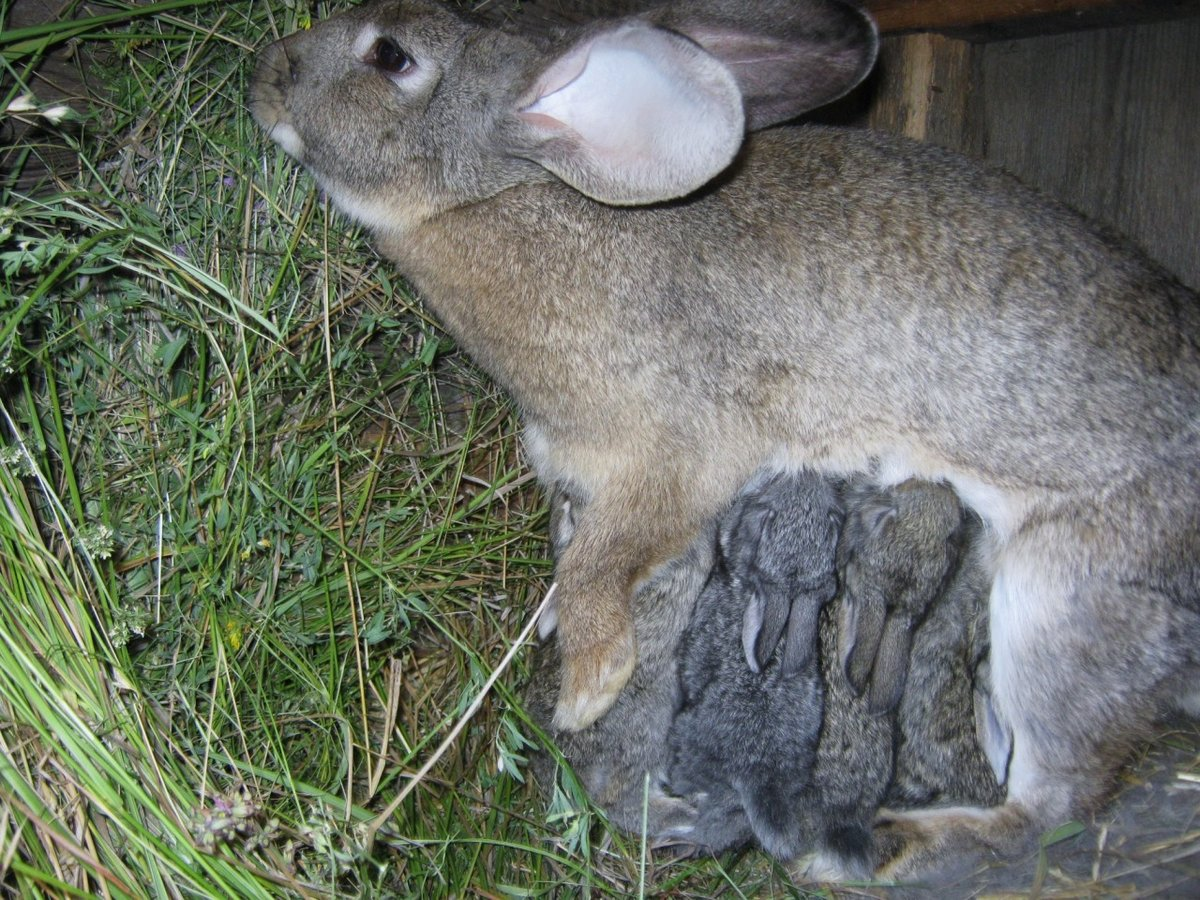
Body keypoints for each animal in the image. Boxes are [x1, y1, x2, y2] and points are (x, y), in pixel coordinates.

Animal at [248, 0, 1200, 883]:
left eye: (390, 55)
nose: (267, 71)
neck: (513, 194)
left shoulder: (678, 458)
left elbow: (602, 561)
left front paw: (589, 688)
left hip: (1062, 606)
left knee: (1053, 807)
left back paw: (885, 849)